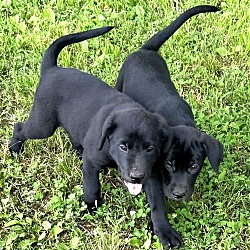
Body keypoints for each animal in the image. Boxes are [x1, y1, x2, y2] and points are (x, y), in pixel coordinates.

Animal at [8, 26, 173, 215]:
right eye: (123, 147)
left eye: (150, 148)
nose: (136, 177)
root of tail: (51, 70)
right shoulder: (91, 163)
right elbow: (92, 185)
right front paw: (90, 205)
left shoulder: (150, 169)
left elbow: (156, 197)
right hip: (43, 125)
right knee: (20, 128)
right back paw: (14, 149)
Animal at [116, 4, 224, 249]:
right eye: (168, 164)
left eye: (194, 166)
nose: (179, 194)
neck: (176, 119)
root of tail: (145, 50)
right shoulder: (152, 173)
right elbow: (157, 202)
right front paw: (164, 231)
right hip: (120, 79)